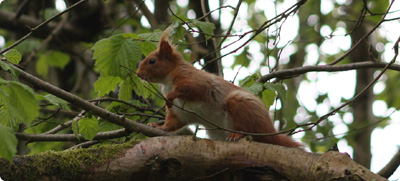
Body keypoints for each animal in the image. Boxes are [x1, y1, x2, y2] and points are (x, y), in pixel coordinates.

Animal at [136, 26, 302, 147]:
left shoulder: (192, 78)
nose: (138, 73)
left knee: (251, 131)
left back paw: (237, 134)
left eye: (152, 61)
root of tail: (270, 130)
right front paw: (158, 127)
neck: (167, 81)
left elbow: (190, 88)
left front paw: (169, 97)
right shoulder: (180, 111)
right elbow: (172, 123)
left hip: (240, 105)